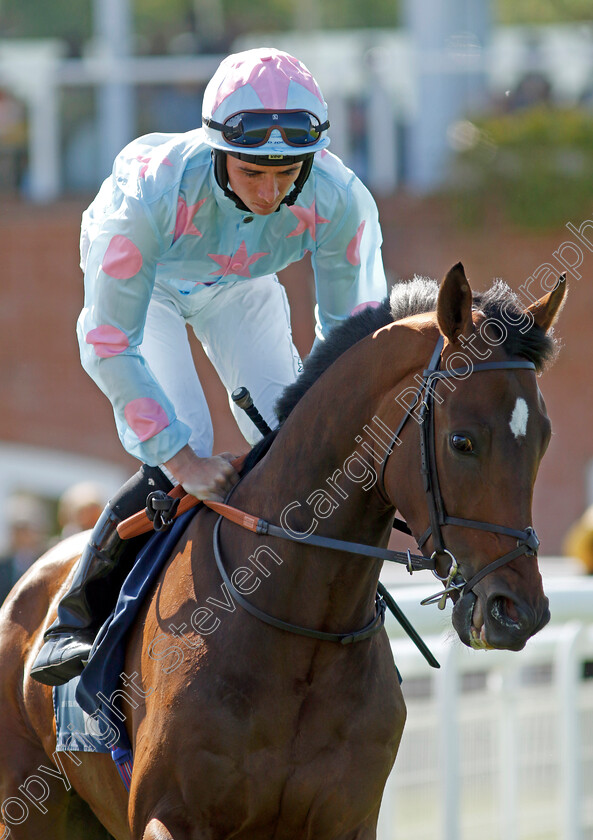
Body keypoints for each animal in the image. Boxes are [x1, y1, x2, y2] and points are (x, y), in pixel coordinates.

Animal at [0, 266, 564, 840]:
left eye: (543, 439)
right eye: (462, 441)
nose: (518, 613)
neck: (300, 624)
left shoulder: (349, 819)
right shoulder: (169, 815)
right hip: (29, 807)